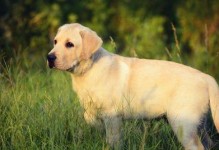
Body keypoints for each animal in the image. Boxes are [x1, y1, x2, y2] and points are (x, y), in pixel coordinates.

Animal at [48, 22, 219, 149]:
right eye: (55, 42)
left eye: (70, 44)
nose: (49, 57)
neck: (89, 69)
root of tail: (206, 77)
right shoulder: (90, 111)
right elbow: (93, 123)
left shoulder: (112, 116)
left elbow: (113, 140)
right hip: (198, 124)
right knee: (209, 143)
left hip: (183, 122)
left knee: (197, 146)